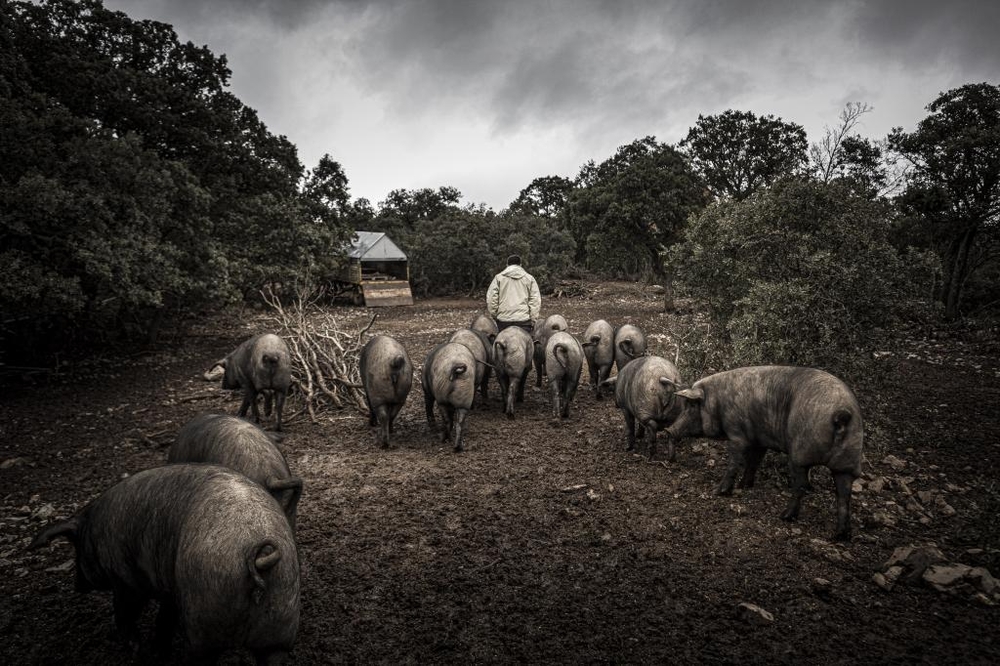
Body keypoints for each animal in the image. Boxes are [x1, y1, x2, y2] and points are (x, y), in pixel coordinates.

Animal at [28, 464, 300, 660]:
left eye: (77, 548)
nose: (78, 585)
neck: (94, 529)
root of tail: (258, 556)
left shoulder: (126, 580)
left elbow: (126, 613)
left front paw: (137, 648)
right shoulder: (169, 589)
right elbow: (164, 618)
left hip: (205, 622)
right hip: (280, 621)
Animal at [664, 366, 868, 544]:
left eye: (691, 405)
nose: (668, 430)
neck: (717, 402)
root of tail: (842, 413)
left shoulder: (737, 434)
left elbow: (735, 462)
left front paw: (719, 492)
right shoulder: (759, 440)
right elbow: (753, 463)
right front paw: (744, 486)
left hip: (800, 455)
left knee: (801, 485)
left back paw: (785, 516)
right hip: (848, 461)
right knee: (843, 495)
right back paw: (840, 536)